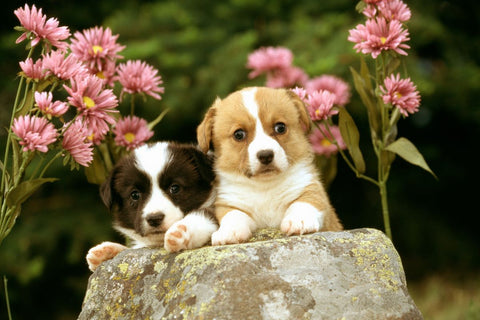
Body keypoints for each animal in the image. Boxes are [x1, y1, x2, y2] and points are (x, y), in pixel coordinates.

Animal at [86, 141, 218, 272]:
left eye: (175, 188)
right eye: (135, 195)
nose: (154, 218)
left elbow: (205, 215)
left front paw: (181, 231)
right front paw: (107, 251)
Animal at [197, 85, 344, 245]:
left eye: (280, 127)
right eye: (239, 134)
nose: (266, 155)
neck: (265, 186)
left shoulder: (310, 189)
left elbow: (303, 203)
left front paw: (299, 221)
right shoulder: (229, 203)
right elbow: (233, 215)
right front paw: (228, 232)